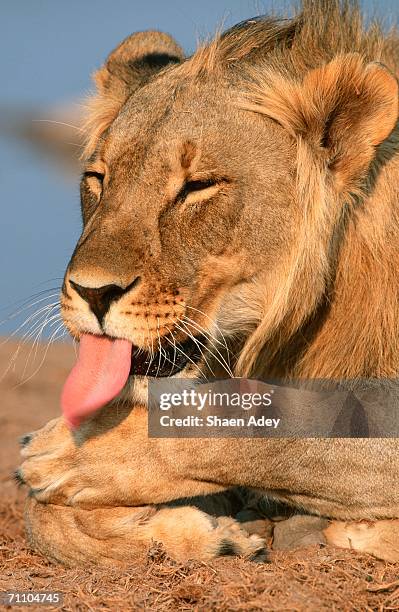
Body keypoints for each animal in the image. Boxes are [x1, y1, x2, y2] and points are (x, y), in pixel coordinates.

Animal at [17, 0, 399, 568]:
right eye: (98, 178)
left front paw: (69, 451)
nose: (91, 292)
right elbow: (39, 516)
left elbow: (276, 428)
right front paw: (203, 534)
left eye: (197, 187)